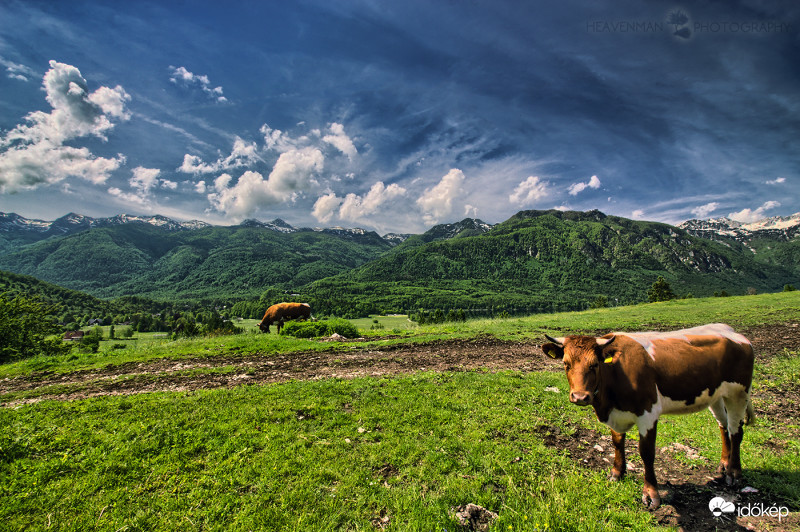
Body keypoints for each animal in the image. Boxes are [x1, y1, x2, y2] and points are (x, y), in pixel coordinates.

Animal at [540, 322, 752, 510]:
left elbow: (647, 453)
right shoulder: (616, 414)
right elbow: (617, 442)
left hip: (738, 393)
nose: (580, 397)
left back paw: (734, 472)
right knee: (723, 425)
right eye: (566, 364)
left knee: (736, 430)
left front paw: (651, 494)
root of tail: (732, 331)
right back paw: (724, 464)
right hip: (716, 395)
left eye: (594, 365)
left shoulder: (648, 414)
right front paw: (617, 473)